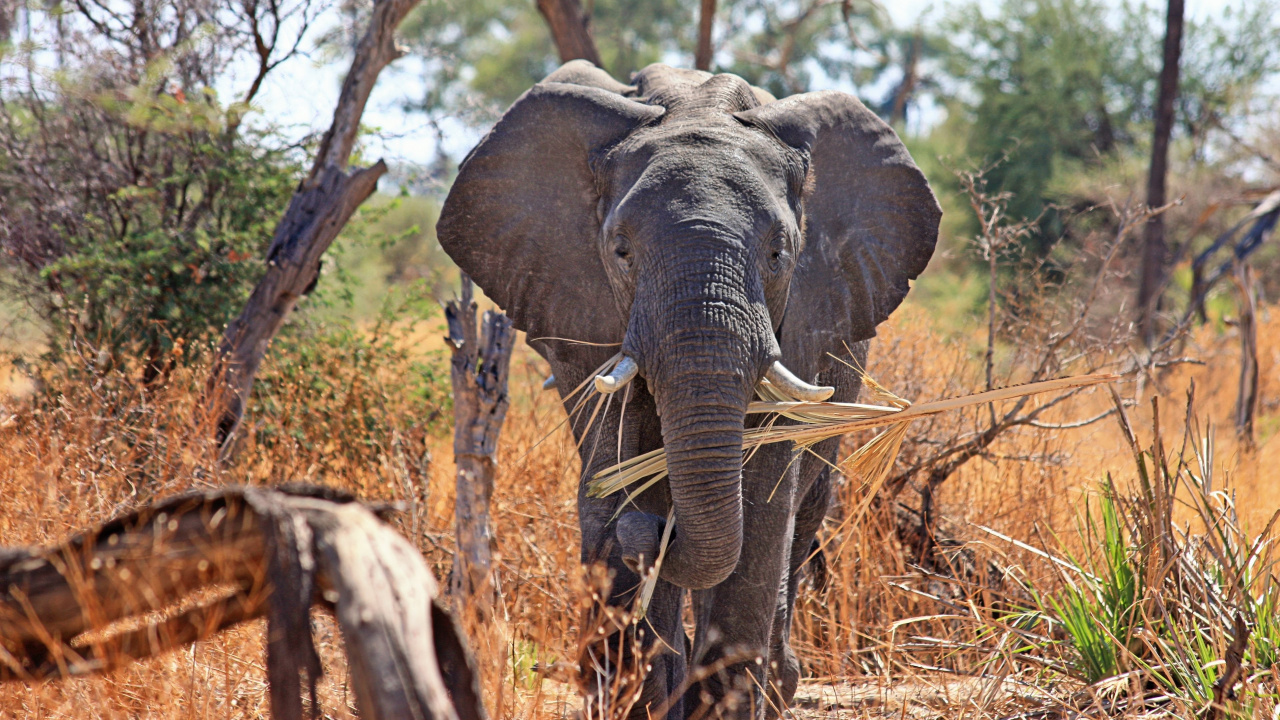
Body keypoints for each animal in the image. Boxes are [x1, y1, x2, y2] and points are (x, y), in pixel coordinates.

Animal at [436, 61, 940, 720]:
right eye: (621, 251)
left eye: (778, 253)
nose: (654, 534)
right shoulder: (585, 312)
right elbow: (615, 468)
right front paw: (640, 692)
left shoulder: (803, 318)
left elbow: (761, 502)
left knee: (803, 514)